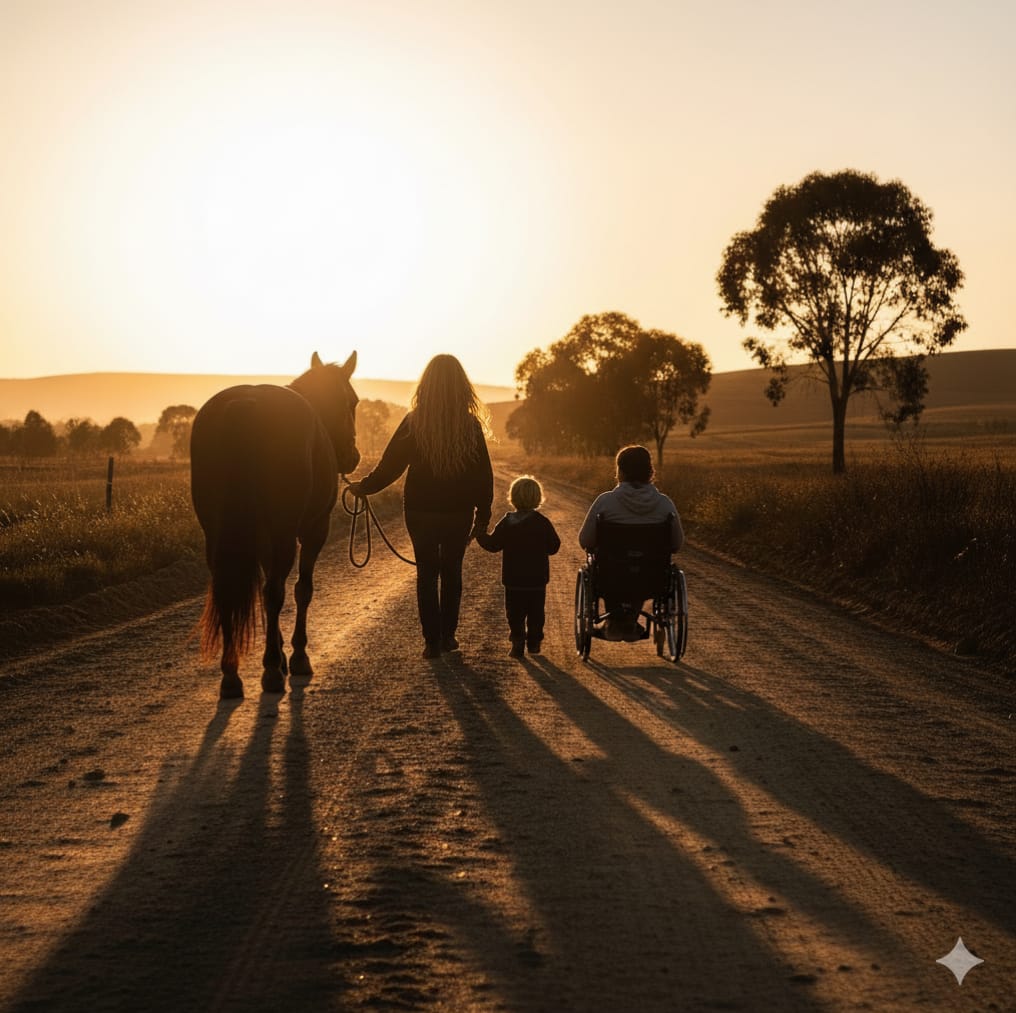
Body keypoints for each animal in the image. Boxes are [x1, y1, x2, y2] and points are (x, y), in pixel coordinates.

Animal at [190, 352, 360, 699]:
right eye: (352, 402)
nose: (353, 456)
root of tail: (249, 404)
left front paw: (281, 654)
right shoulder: (313, 530)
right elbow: (301, 590)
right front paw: (294, 656)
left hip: (216, 534)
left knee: (230, 589)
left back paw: (231, 675)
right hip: (284, 532)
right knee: (274, 592)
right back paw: (269, 670)